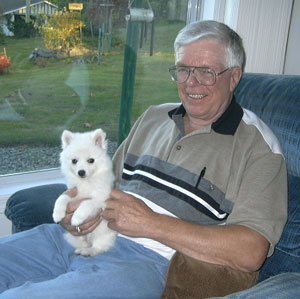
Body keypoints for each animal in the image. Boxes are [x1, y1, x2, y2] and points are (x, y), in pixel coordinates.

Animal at [52, 127, 116, 256]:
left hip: (102, 233)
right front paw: (57, 213)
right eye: (74, 161)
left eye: (91, 160)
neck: (86, 182)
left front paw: (76, 218)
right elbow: (62, 198)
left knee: (99, 246)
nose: (81, 172)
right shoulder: (74, 192)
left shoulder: (101, 199)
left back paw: (89, 251)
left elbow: (87, 203)